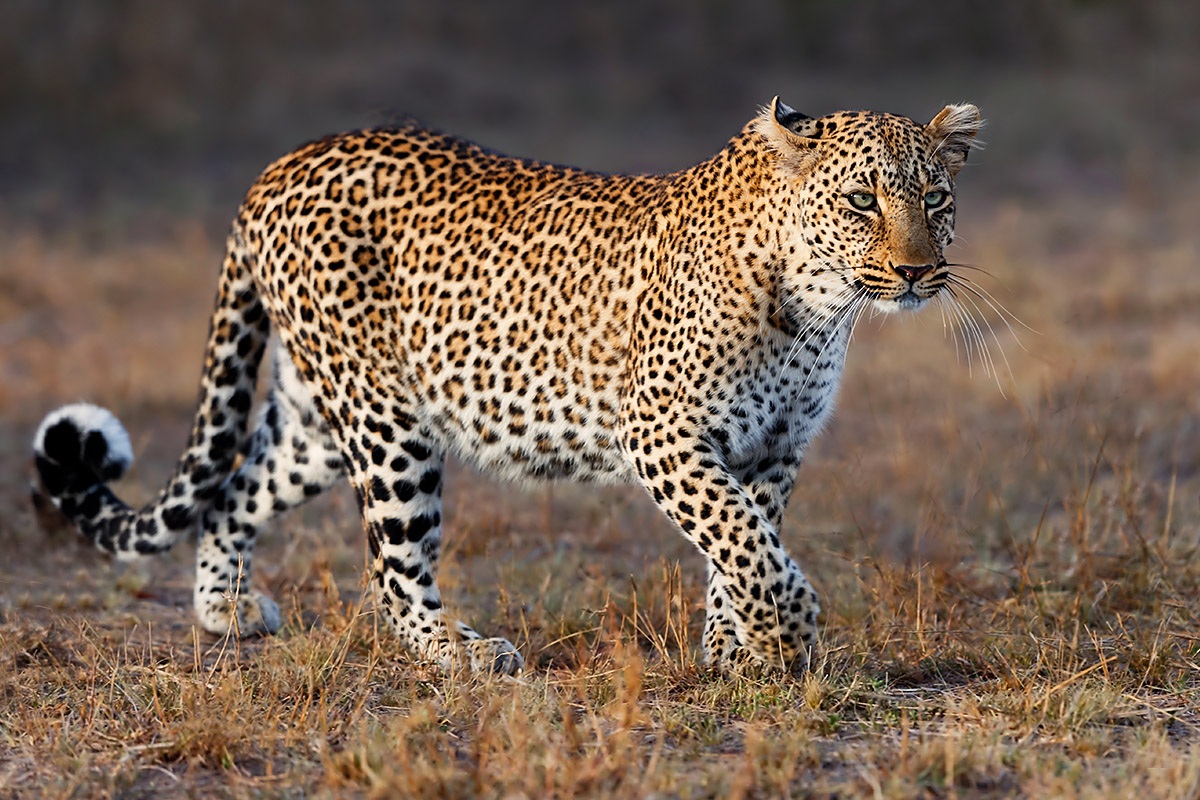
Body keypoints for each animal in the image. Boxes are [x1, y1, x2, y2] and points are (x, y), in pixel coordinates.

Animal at [32, 97, 981, 676]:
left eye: (936, 198)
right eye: (861, 200)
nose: (916, 272)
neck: (818, 307)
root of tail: (282, 164)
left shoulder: (773, 449)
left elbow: (744, 545)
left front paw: (734, 650)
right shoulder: (666, 434)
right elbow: (743, 541)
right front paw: (785, 638)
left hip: (319, 420)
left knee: (233, 489)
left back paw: (222, 608)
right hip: (387, 424)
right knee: (391, 571)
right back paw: (461, 654)